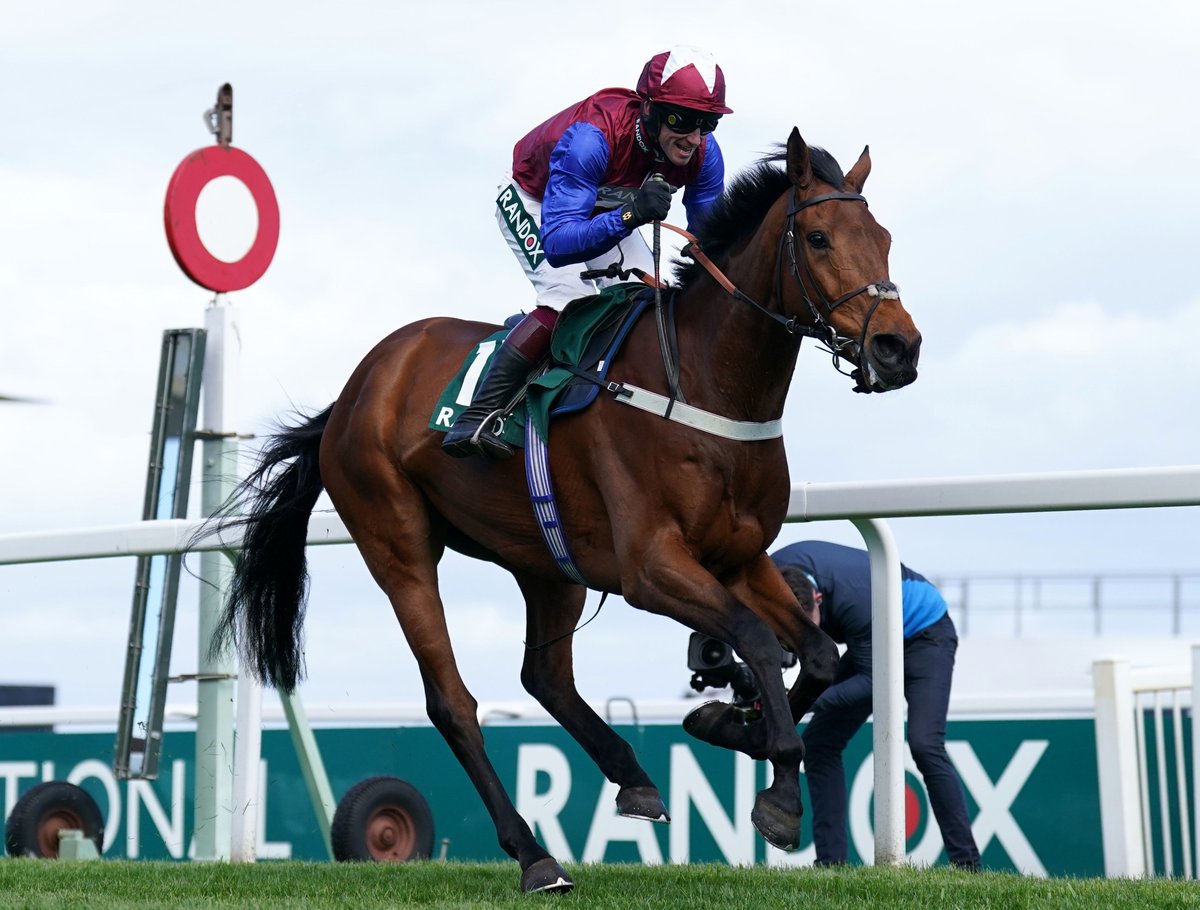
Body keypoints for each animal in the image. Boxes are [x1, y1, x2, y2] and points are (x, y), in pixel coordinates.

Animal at [213, 128, 916, 893]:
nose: (897, 348)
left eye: (884, 237)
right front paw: (781, 794)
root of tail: (354, 391)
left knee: (544, 678)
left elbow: (816, 653)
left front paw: (736, 727)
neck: (705, 385)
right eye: (818, 238)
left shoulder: (739, 556)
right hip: (396, 542)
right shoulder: (651, 567)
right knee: (452, 701)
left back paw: (633, 779)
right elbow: (758, 642)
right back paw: (534, 855)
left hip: (548, 560)